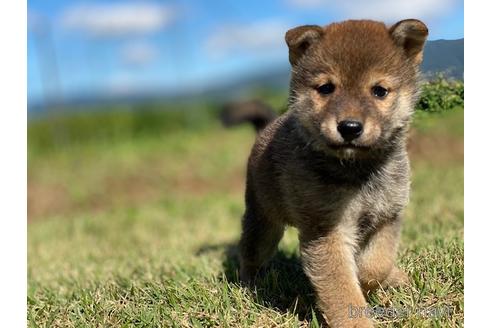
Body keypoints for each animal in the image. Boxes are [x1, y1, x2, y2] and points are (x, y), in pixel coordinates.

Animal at [237, 19, 426, 326]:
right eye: (326, 88)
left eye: (379, 91)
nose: (349, 127)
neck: (358, 171)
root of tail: (267, 126)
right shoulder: (327, 231)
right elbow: (342, 291)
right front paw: (356, 320)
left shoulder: (388, 217)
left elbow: (376, 264)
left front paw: (374, 279)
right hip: (263, 220)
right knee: (250, 254)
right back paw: (248, 285)